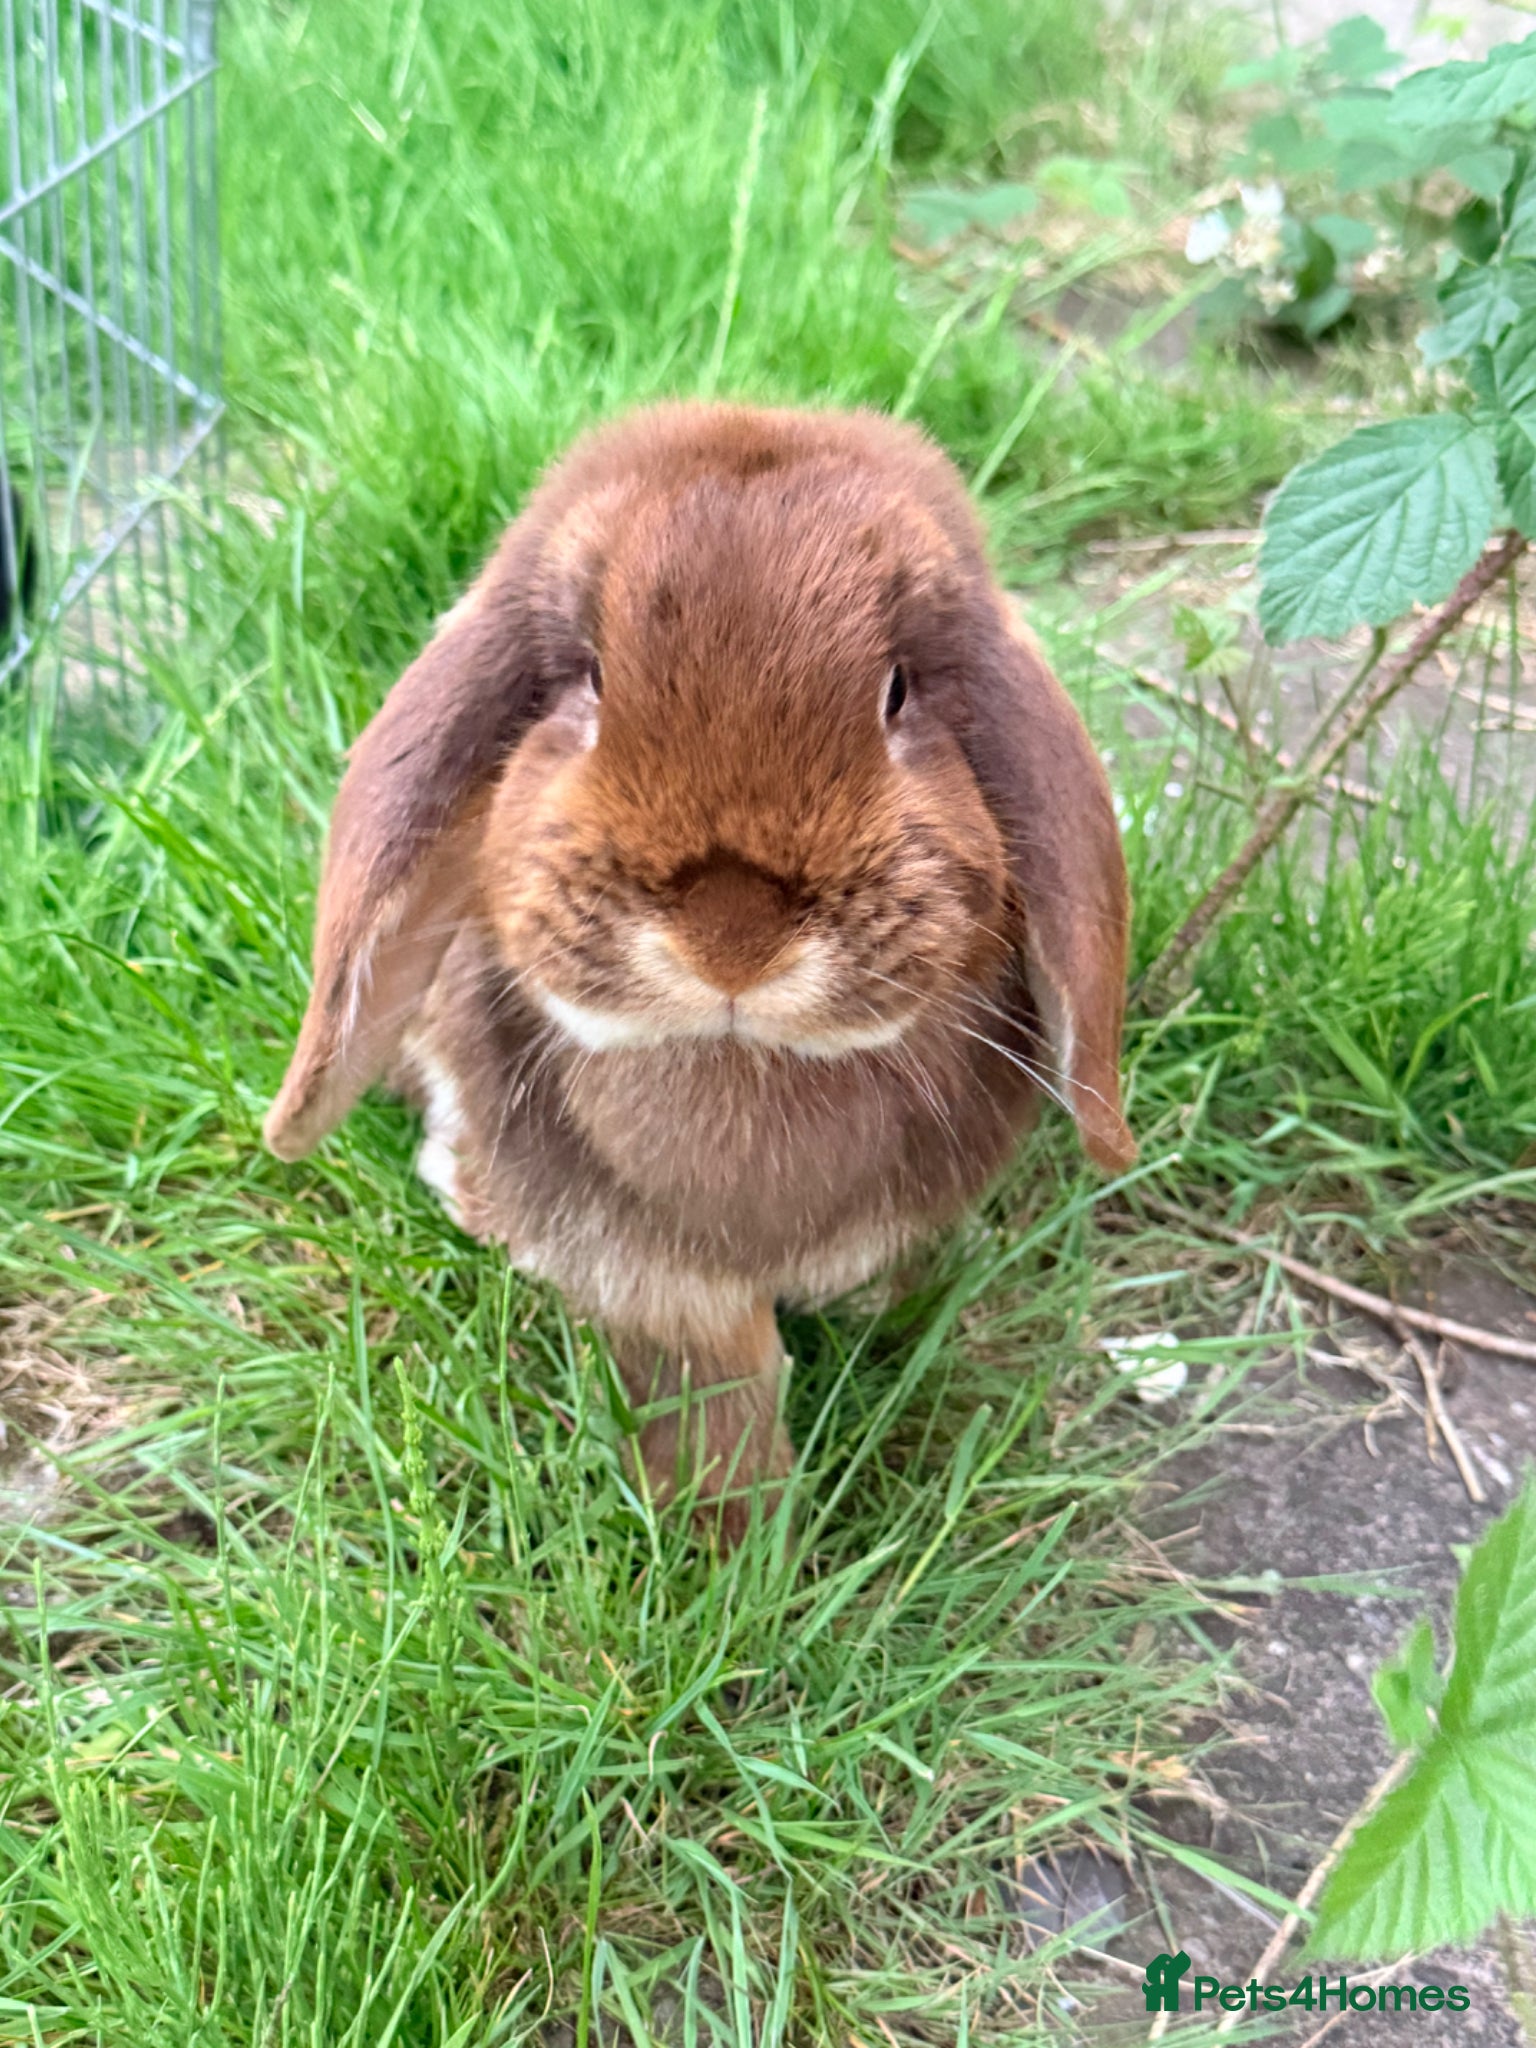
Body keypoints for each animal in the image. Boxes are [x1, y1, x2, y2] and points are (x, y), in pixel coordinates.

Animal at [264, 401, 1136, 1542]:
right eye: (589, 676)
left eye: (898, 690)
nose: (732, 930)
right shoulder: (653, 1282)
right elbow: (713, 1388)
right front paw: (743, 1539)